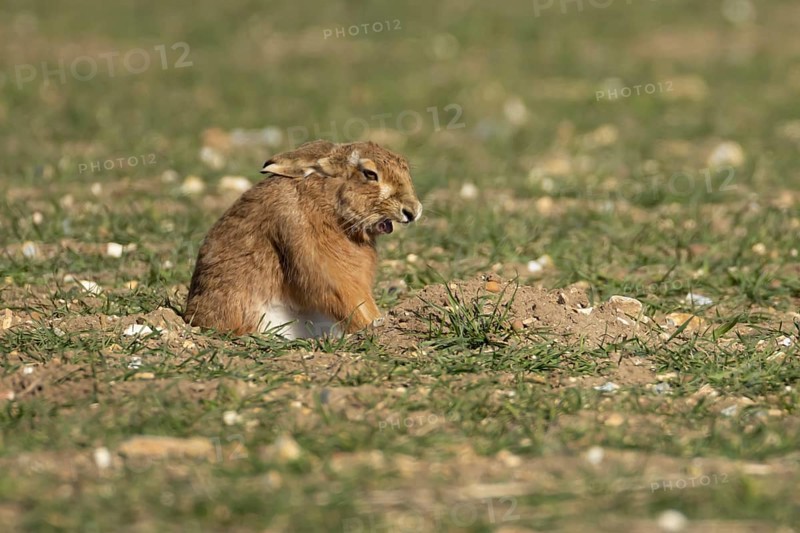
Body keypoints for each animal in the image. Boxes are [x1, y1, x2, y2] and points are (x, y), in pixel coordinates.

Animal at [184, 140, 423, 338]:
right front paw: (372, 325)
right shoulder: (317, 260)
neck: (329, 202)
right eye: (370, 174)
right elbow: (344, 296)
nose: (413, 211)